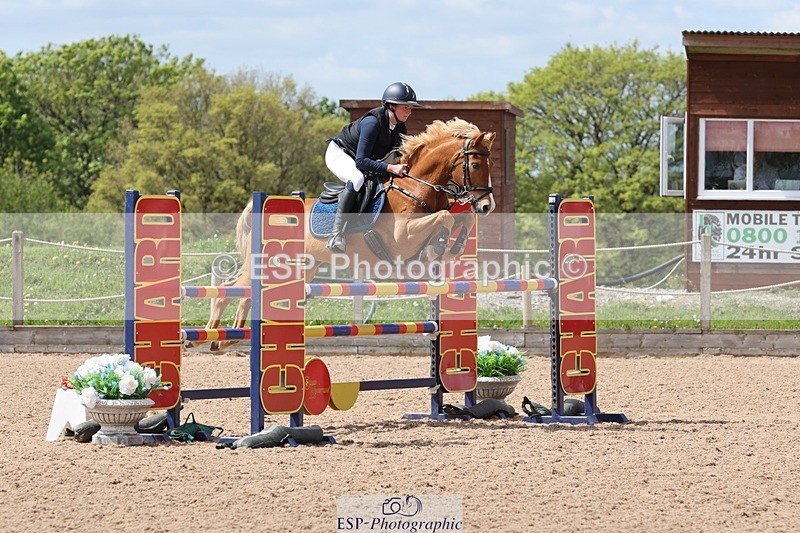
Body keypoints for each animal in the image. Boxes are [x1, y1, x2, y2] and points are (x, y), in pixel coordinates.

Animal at [193, 117, 496, 351]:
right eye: (476, 166)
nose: (486, 206)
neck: (415, 187)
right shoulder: (401, 238)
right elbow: (445, 217)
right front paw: (437, 246)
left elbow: (460, 217)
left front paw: (454, 246)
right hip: (269, 264)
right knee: (229, 290)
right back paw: (208, 338)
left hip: (300, 268)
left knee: (247, 295)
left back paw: (226, 340)